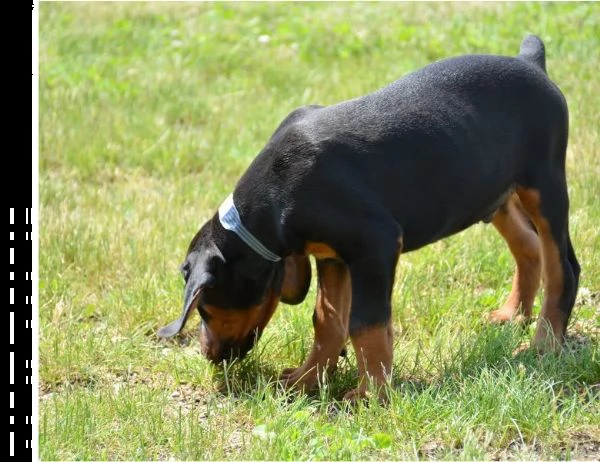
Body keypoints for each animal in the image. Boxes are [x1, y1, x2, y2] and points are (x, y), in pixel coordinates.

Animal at [157, 35, 580, 400]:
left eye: (205, 307)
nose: (208, 355)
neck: (276, 195)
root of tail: (531, 63)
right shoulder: (332, 256)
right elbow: (327, 320)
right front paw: (306, 381)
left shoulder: (375, 245)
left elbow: (365, 324)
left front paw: (370, 395)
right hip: (494, 193)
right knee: (528, 248)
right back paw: (514, 315)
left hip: (544, 184)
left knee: (563, 265)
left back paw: (545, 343)